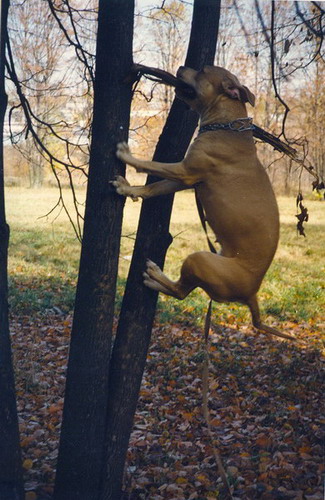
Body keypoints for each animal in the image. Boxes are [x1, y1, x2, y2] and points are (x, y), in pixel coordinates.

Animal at [114, 65, 292, 340]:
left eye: (203, 70)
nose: (181, 66)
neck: (225, 126)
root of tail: (252, 292)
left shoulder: (184, 171)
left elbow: (150, 165)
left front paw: (127, 156)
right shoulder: (184, 180)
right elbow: (154, 187)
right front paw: (129, 189)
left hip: (199, 260)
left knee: (180, 292)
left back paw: (154, 275)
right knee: (183, 291)